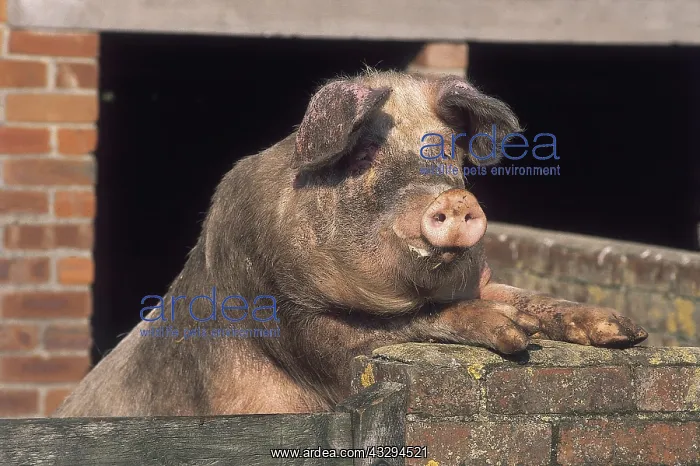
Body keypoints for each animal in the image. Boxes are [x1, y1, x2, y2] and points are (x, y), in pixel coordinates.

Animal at [54, 70, 648, 417]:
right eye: (363, 156)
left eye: (449, 156)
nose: (455, 199)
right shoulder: (285, 317)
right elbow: (386, 329)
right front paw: (512, 335)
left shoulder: (476, 282)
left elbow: (520, 295)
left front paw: (626, 332)